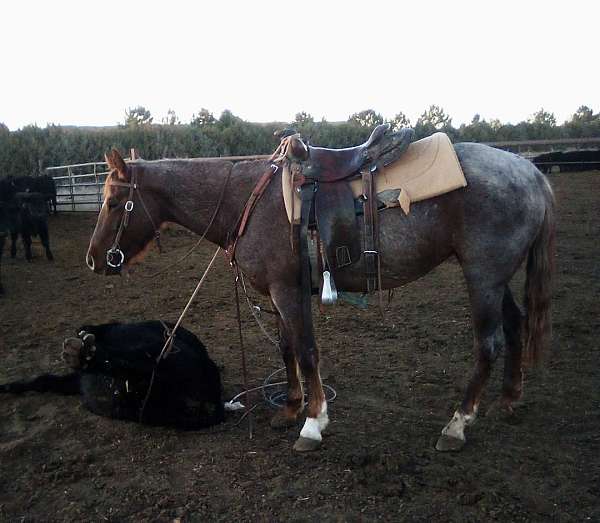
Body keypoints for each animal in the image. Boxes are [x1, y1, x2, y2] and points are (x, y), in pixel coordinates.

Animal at [0, 320, 225, 430]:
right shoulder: (74, 381)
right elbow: (44, 380)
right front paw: (8, 387)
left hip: (163, 356)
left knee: (138, 365)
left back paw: (83, 353)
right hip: (149, 404)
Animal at [85, 141, 556, 452]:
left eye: (113, 202)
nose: (93, 260)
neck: (248, 199)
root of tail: (531, 173)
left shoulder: (287, 290)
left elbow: (307, 351)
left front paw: (313, 423)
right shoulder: (282, 291)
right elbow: (287, 347)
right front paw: (291, 408)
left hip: (483, 276)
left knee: (488, 344)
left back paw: (457, 426)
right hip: (495, 278)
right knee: (515, 325)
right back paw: (509, 399)